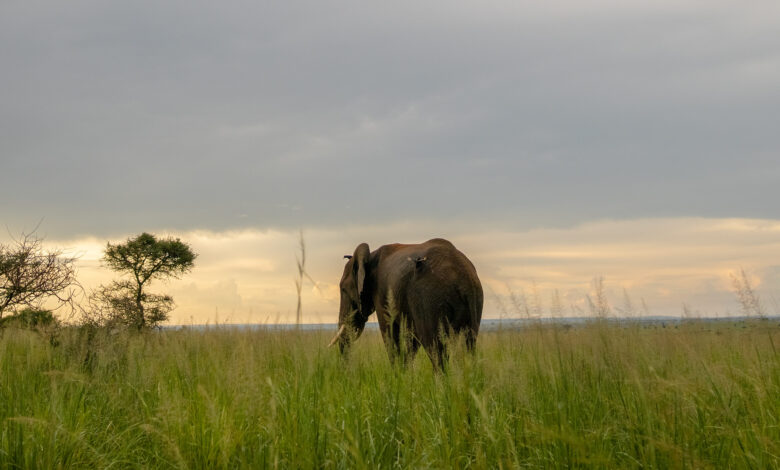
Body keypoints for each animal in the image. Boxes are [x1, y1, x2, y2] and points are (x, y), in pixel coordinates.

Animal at [328, 238, 483, 369]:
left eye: (343, 289)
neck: (370, 256)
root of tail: (464, 279)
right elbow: (410, 339)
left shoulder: (381, 292)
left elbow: (389, 330)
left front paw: (397, 376)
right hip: (475, 300)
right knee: (469, 343)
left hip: (430, 298)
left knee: (434, 348)